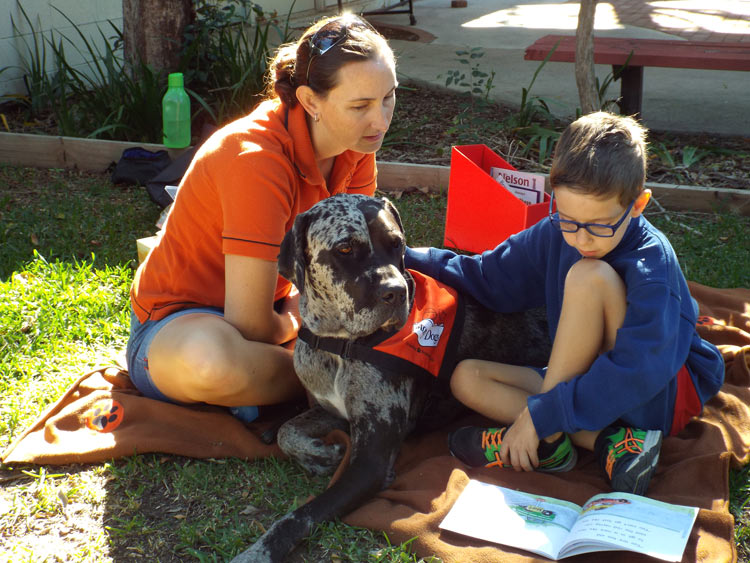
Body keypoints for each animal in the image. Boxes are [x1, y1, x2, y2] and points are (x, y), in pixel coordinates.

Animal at [232, 195, 556, 563]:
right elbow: (286, 431)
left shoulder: (370, 462)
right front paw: (319, 455)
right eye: (345, 249)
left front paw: (260, 550)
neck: (340, 344)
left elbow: (300, 516)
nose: (396, 292)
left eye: (397, 244)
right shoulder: (335, 412)